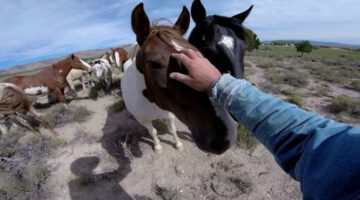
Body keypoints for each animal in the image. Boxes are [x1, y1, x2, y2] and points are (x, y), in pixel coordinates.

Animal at [131, 2, 238, 154]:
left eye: (199, 53)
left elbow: (172, 129)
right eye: (153, 63)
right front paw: (158, 147)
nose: (225, 139)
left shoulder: (169, 113)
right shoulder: (143, 119)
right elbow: (153, 132)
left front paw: (177, 144)